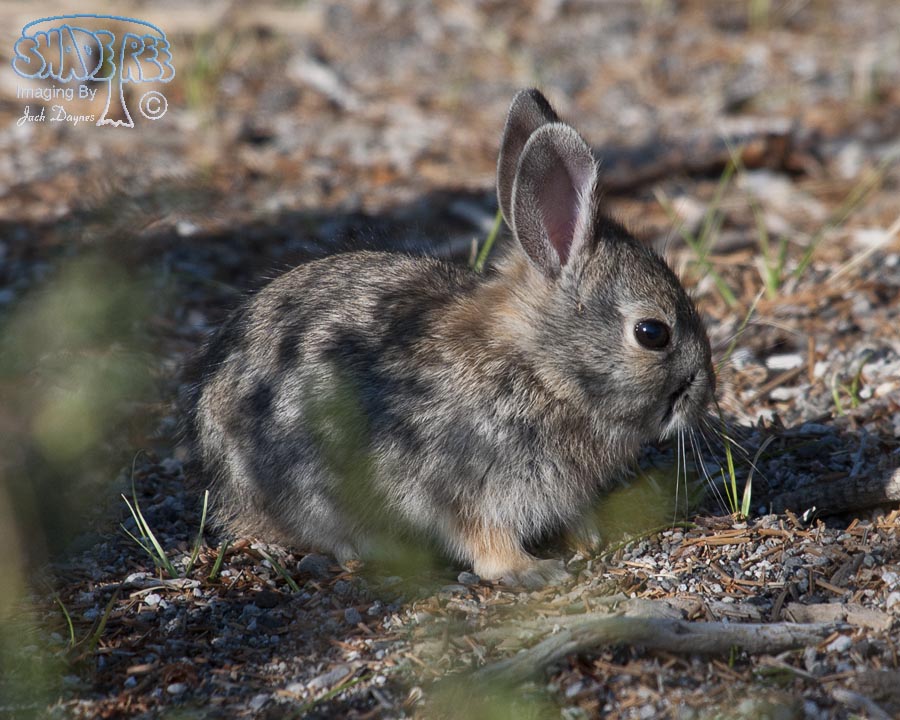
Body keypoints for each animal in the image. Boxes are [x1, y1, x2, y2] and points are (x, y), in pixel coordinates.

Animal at [183, 89, 715, 588]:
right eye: (652, 333)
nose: (706, 391)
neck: (542, 372)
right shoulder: (467, 486)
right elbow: (486, 541)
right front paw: (530, 570)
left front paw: (586, 536)